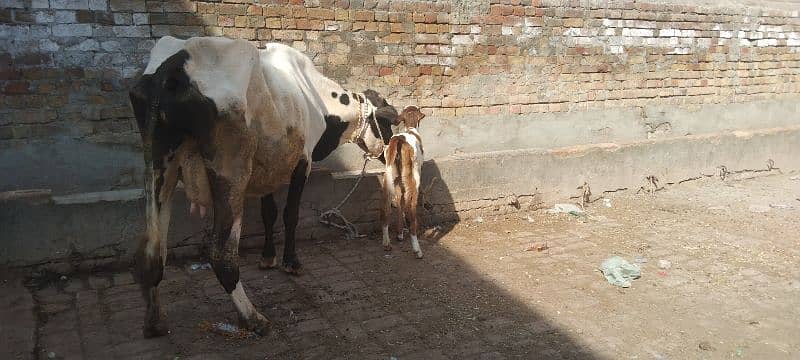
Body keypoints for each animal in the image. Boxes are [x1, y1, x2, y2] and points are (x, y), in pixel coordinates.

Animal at [130, 35, 400, 336]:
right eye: (385, 124)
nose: (387, 153)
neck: (313, 95)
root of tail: (174, 66)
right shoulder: (302, 162)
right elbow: (290, 215)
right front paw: (291, 262)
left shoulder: (268, 169)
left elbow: (268, 214)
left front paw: (268, 257)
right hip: (231, 172)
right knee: (221, 254)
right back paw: (253, 318)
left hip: (158, 164)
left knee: (152, 250)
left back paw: (155, 320)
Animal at [380, 105, 424, 258]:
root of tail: (398, 139)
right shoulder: (417, 173)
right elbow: (407, 203)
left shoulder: (398, 181)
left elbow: (399, 201)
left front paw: (399, 234)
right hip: (410, 178)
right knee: (410, 206)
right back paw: (417, 249)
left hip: (388, 177)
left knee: (386, 209)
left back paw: (386, 243)